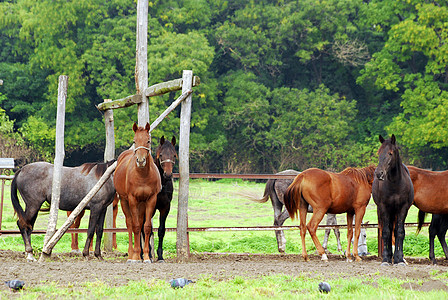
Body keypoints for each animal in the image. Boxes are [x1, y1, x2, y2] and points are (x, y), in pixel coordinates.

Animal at [113, 122, 162, 262]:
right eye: (134, 141)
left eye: (148, 141)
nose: (140, 161)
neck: (142, 176)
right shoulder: (132, 199)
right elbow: (134, 226)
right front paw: (135, 257)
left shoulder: (151, 199)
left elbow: (146, 227)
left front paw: (145, 256)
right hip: (124, 201)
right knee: (130, 224)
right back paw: (131, 254)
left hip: (142, 203)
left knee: (140, 223)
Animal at [372, 135, 412, 266]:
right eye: (379, 152)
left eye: (390, 153)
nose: (379, 173)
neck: (395, 183)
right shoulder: (384, 207)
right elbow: (386, 232)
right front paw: (385, 259)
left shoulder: (403, 208)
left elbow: (399, 232)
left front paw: (399, 259)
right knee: (388, 231)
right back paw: (389, 257)